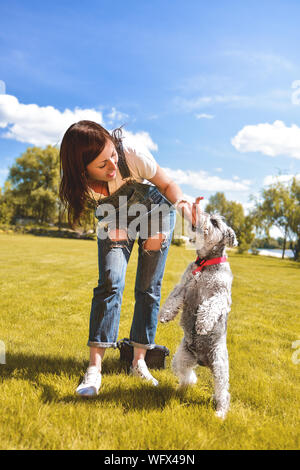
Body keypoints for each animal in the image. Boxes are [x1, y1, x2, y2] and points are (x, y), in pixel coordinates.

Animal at [158, 213, 238, 418]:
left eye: (215, 222)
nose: (197, 218)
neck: (205, 262)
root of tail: (203, 361)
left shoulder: (221, 295)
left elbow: (210, 306)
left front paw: (202, 324)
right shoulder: (184, 286)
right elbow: (173, 298)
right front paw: (165, 314)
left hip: (219, 366)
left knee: (223, 392)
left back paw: (220, 413)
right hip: (181, 358)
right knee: (188, 376)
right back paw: (183, 387)